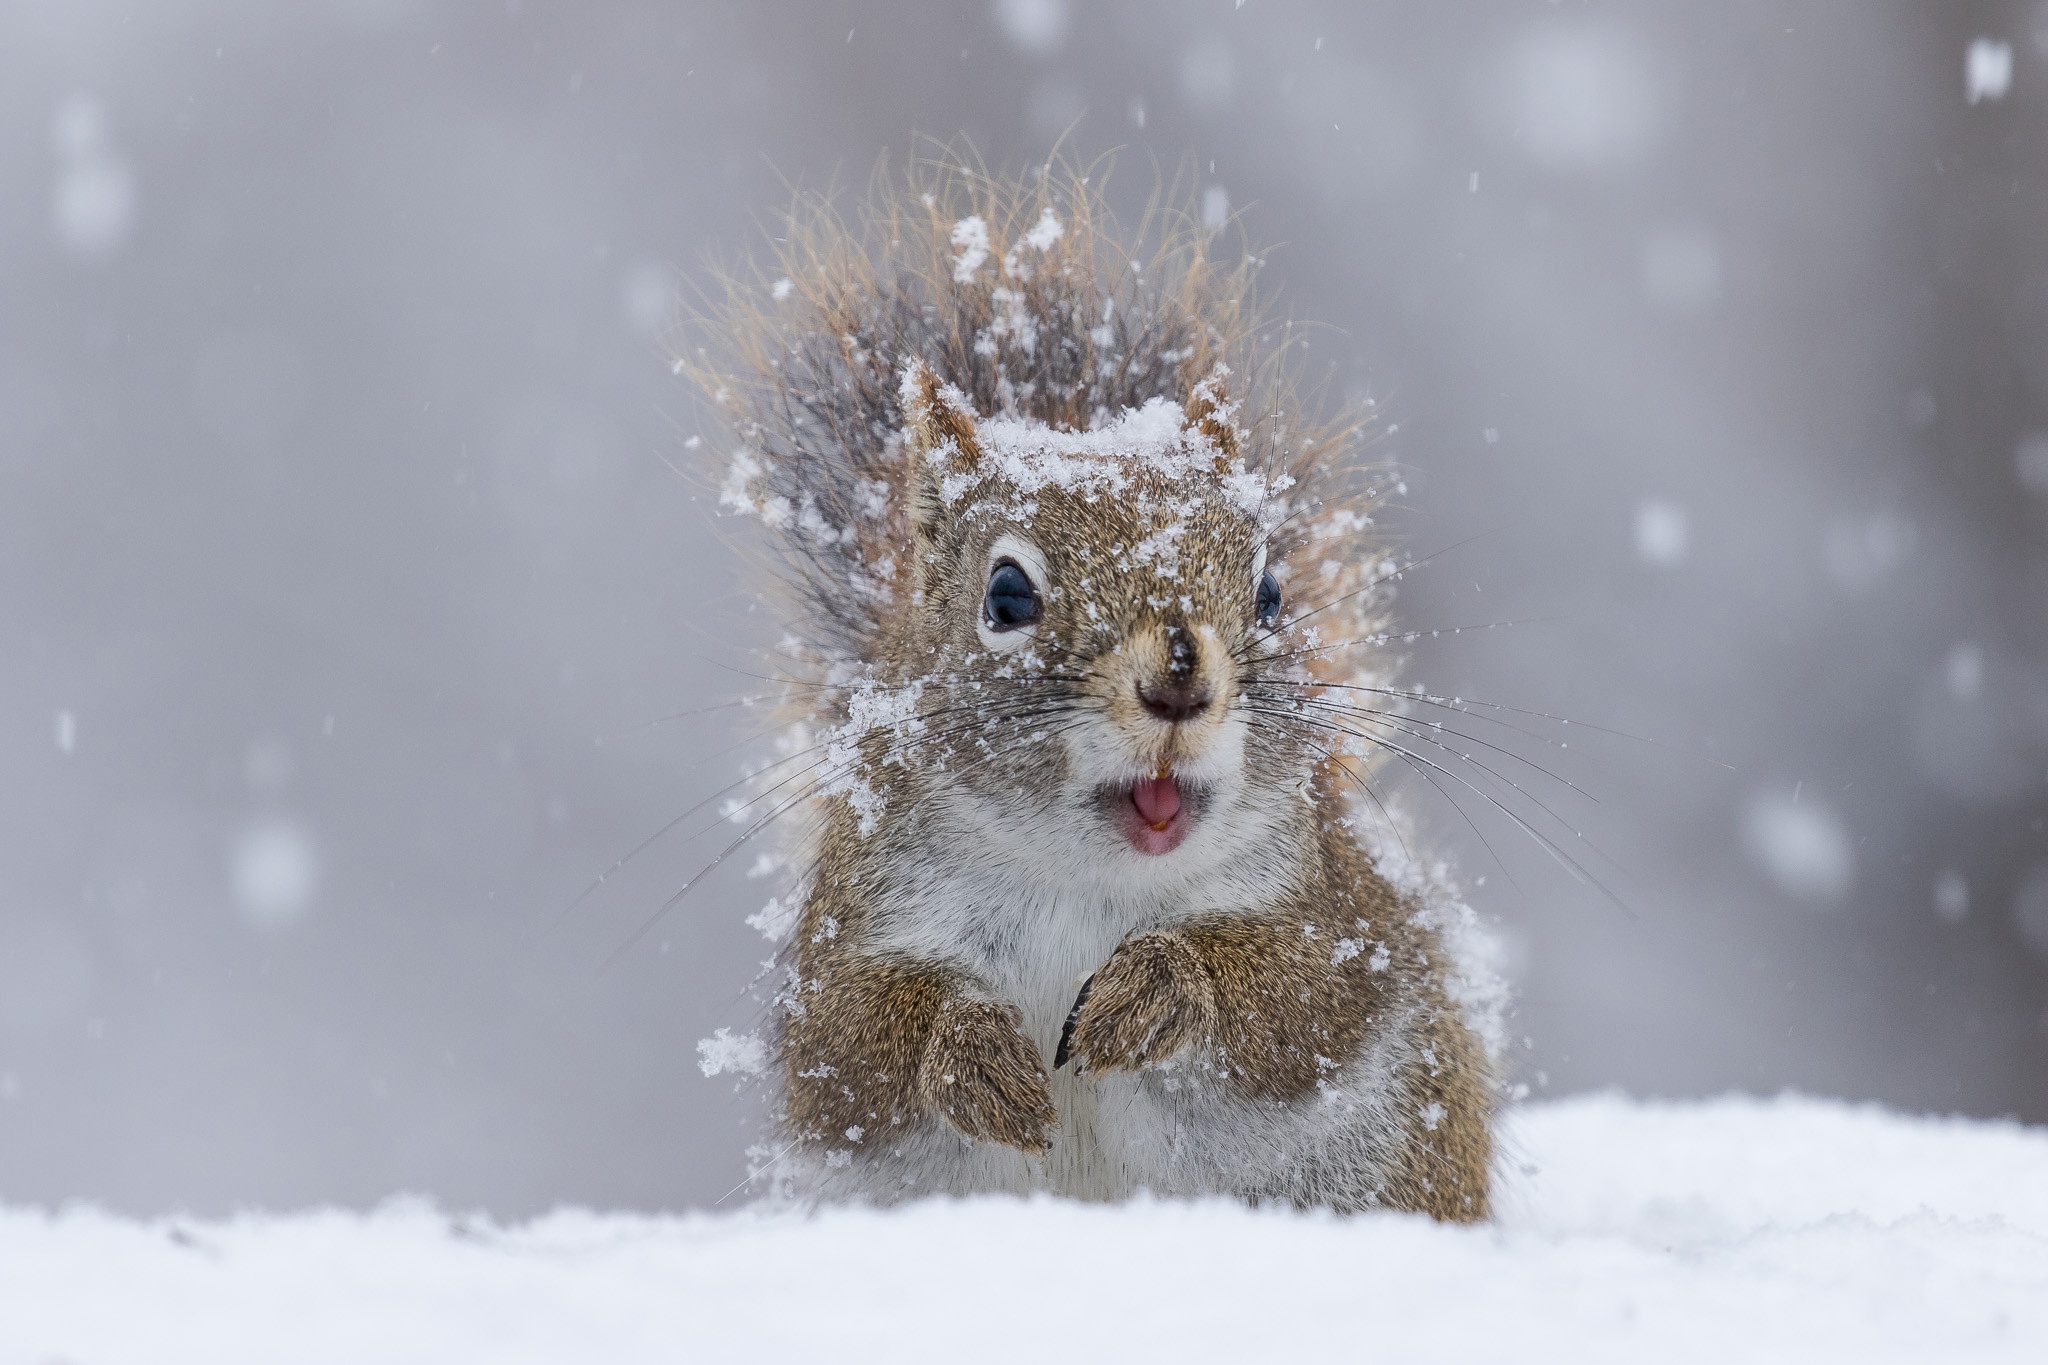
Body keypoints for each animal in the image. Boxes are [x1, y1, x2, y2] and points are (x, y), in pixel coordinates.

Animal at [688, 154, 1507, 1219]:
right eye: (1005, 594)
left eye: (1271, 591)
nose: (1180, 678)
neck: (1086, 882)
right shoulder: (851, 934)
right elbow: (850, 1046)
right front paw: (971, 1053)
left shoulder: (1343, 920)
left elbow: (1302, 1000)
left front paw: (1162, 987)